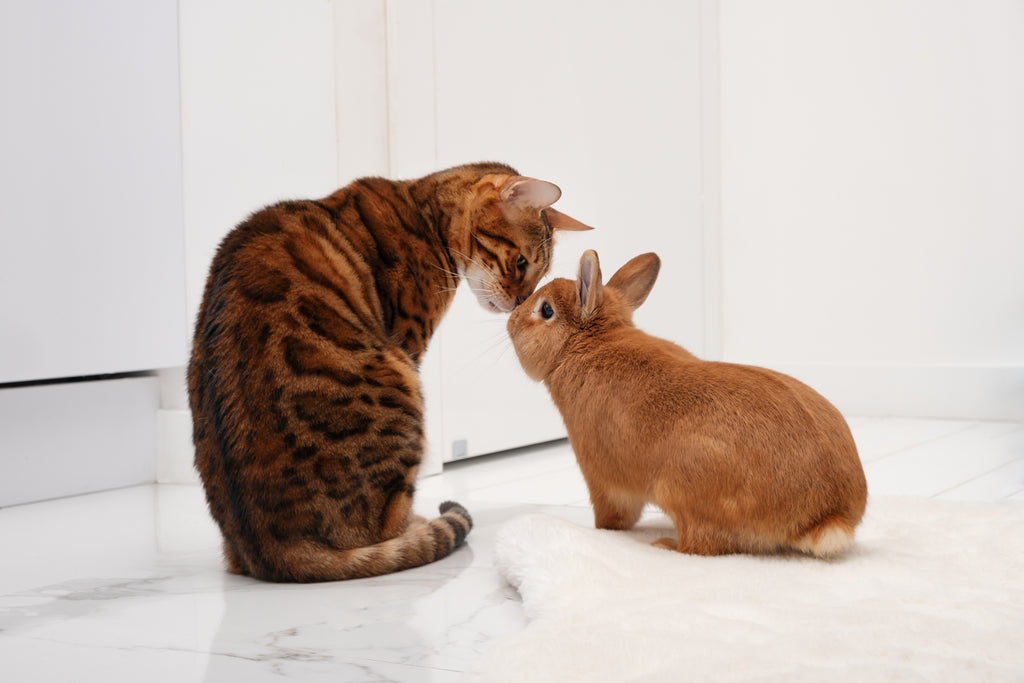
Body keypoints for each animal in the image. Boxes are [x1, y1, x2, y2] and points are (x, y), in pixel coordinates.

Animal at [190, 161, 593, 581]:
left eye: (538, 273)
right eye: (520, 262)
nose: (519, 302)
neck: (424, 212)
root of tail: (270, 550)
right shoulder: (409, 342)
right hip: (402, 376)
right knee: (385, 529)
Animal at [507, 250, 868, 561]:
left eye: (546, 310)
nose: (511, 322)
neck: (587, 345)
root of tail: (827, 514)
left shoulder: (601, 476)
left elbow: (612, 514)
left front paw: (601, 532)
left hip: (680, 486)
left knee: (701, 546)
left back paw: (663, 545)